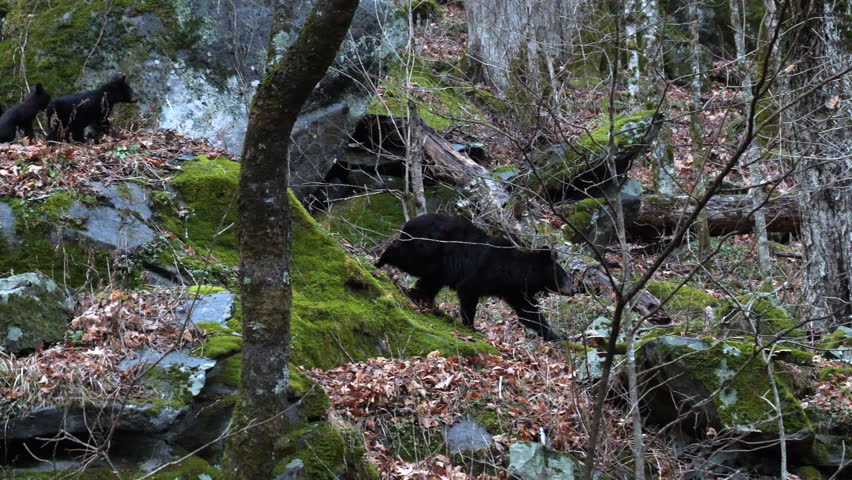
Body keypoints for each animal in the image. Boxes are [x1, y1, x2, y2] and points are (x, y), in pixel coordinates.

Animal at [376, 213, 578, 341]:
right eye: (563, 275)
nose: (575, 290)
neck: (513, 271)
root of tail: (411, 222)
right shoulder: (483, 273)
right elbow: (468, 294)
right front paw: (471, 326)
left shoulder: (513, 290)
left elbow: (529, 312)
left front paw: (556, 336)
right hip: (428, 249)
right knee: (406, 258)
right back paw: (380, 261)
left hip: (438, 265)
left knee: (430, 280)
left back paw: (422, 298)